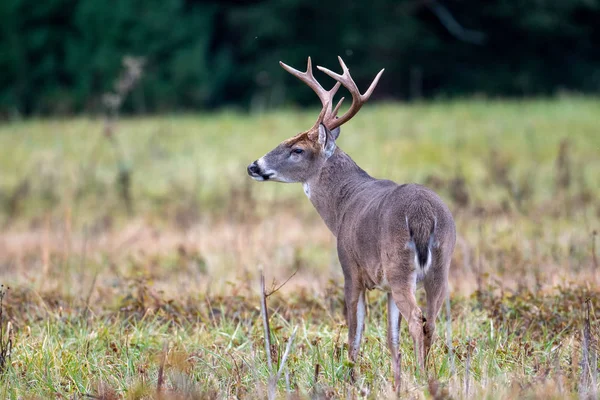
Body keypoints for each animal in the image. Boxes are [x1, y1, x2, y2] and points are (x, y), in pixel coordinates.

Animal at [246, 54, 458, 382]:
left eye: (297, 149)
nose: (253, 166)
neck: (340, 208)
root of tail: (423, 215)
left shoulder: (350, 267)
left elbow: (354, 333)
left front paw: (351, 377)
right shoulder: (385, 286)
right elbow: (390, 336)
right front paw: (395, 379)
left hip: (399, 266)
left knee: (417, 319)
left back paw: (422, 376)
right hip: (441, 266)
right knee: (432, 321)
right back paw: (428, 375)